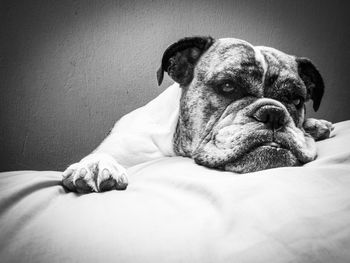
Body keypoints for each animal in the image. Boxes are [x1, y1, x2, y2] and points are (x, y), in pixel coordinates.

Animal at [62, 36, 334, 194]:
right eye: (228, 86)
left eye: (296, 100)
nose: (273, 113)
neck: (175, 143)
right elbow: (102, 154)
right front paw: (95, 165)